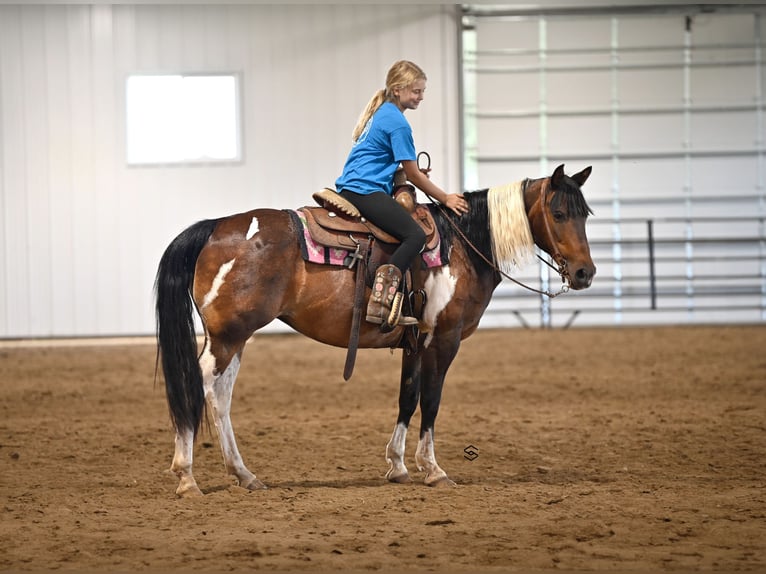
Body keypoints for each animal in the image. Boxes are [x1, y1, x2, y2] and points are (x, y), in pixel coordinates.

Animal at [156, 164, 596, 498]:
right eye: (559, 214)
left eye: (585, 214)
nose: (584, 273)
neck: (462, 247)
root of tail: (215, 227)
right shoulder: (444, 339)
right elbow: (431, 401)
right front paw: (433, 469)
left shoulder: (415, 343)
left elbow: (407, 398)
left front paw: (398, 465)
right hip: (228, 336)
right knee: (198, 385)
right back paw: (187, 476)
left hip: (233, 338)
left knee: (220, 397)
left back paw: (243, 474)